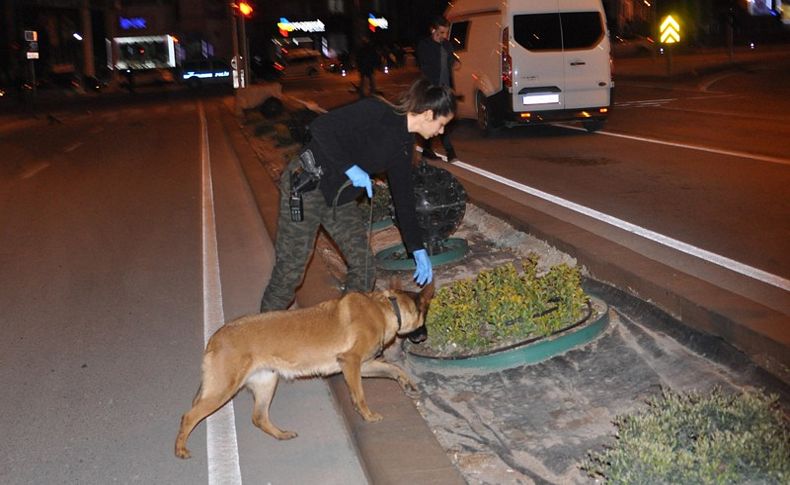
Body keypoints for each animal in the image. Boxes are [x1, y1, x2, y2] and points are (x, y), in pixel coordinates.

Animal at [176, 280, 436, 458]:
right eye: (425, 319)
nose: (425, 337)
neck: (386, 308)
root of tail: (215, 338)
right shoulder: (350, 362)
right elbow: (360, 395)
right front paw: (367, 415)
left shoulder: (363, 365)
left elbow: (393, 369)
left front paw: (407, 382)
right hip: (222, 390)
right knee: (189, 416)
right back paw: (180, 448)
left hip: (266, 383)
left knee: (258, 417)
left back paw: (281, 434)